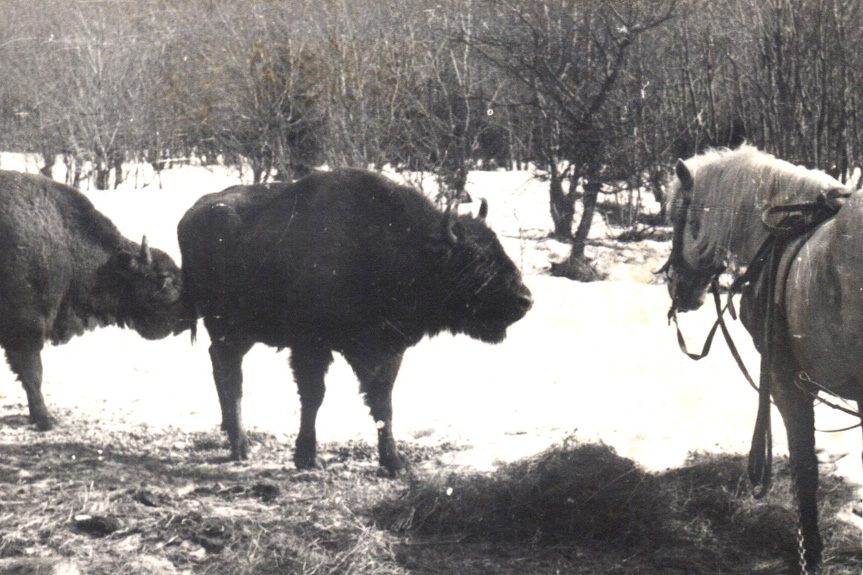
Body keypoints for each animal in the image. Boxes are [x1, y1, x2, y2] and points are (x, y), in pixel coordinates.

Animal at [180, 169, 532, 474]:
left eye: (498, 246)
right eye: (478, 258)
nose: (525, 300)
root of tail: (192, 214)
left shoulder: (385, 351)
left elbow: (383, 405)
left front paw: (393, 463)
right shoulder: (311, 347)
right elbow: (313, 397)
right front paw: (305, 457)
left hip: (242, 332)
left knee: (222, 368)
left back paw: (231, 433)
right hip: (226, 327)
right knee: (231, 376)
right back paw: (240, 445)